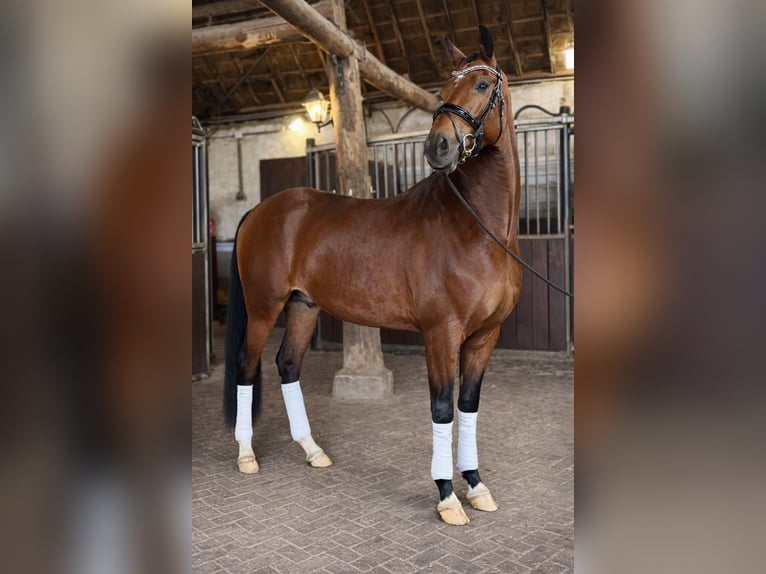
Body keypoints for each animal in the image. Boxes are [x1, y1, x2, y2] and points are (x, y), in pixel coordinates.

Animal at [223, 26, 521, 526]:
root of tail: (261, 210)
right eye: (443, 88)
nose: (437, 147)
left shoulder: (486, 335)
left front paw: (476, 486)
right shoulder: (441, 333)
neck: (476, 227)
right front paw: (447, 496)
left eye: (482, 85)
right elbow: (442, 408)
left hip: (303, 306)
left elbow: (468, 405)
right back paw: (246, 455)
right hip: (264, 307)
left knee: (287, 365)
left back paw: (312, 450)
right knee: (247, 367)